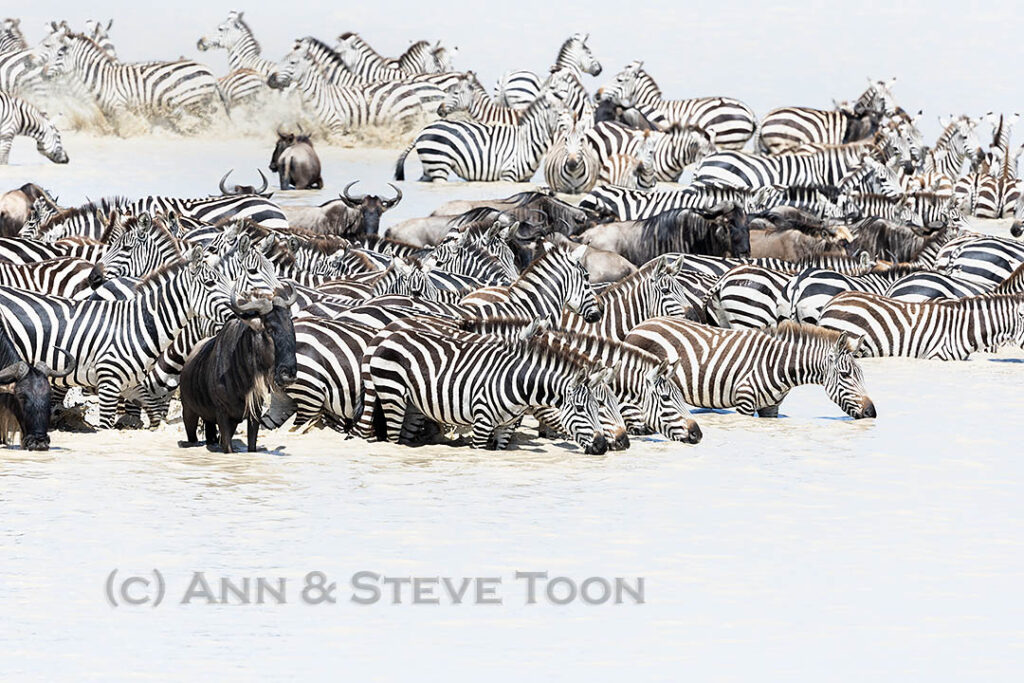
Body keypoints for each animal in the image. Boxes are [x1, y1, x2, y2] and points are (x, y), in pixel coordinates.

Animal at [0, 247, 233, 428]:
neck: (138, 326)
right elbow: (108, 427)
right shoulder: (109, 383)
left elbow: (153, 416)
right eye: (210, 283)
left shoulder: (131, 384)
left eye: (227, 282)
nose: (239, 308)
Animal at [394, 85, 565, 182]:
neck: (527, 141)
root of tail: (422, 132)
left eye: (455, 93)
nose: (439, 110)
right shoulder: (507, 175)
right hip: (438, 164)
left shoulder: (523, 180)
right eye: (560, 114)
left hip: (429, 166)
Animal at [625, 318, 876, 418]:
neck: (779, 365)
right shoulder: (744, 402)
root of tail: (640, 325)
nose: (871, 413)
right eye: (845, 375)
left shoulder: (771, 407)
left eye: (862, 374)